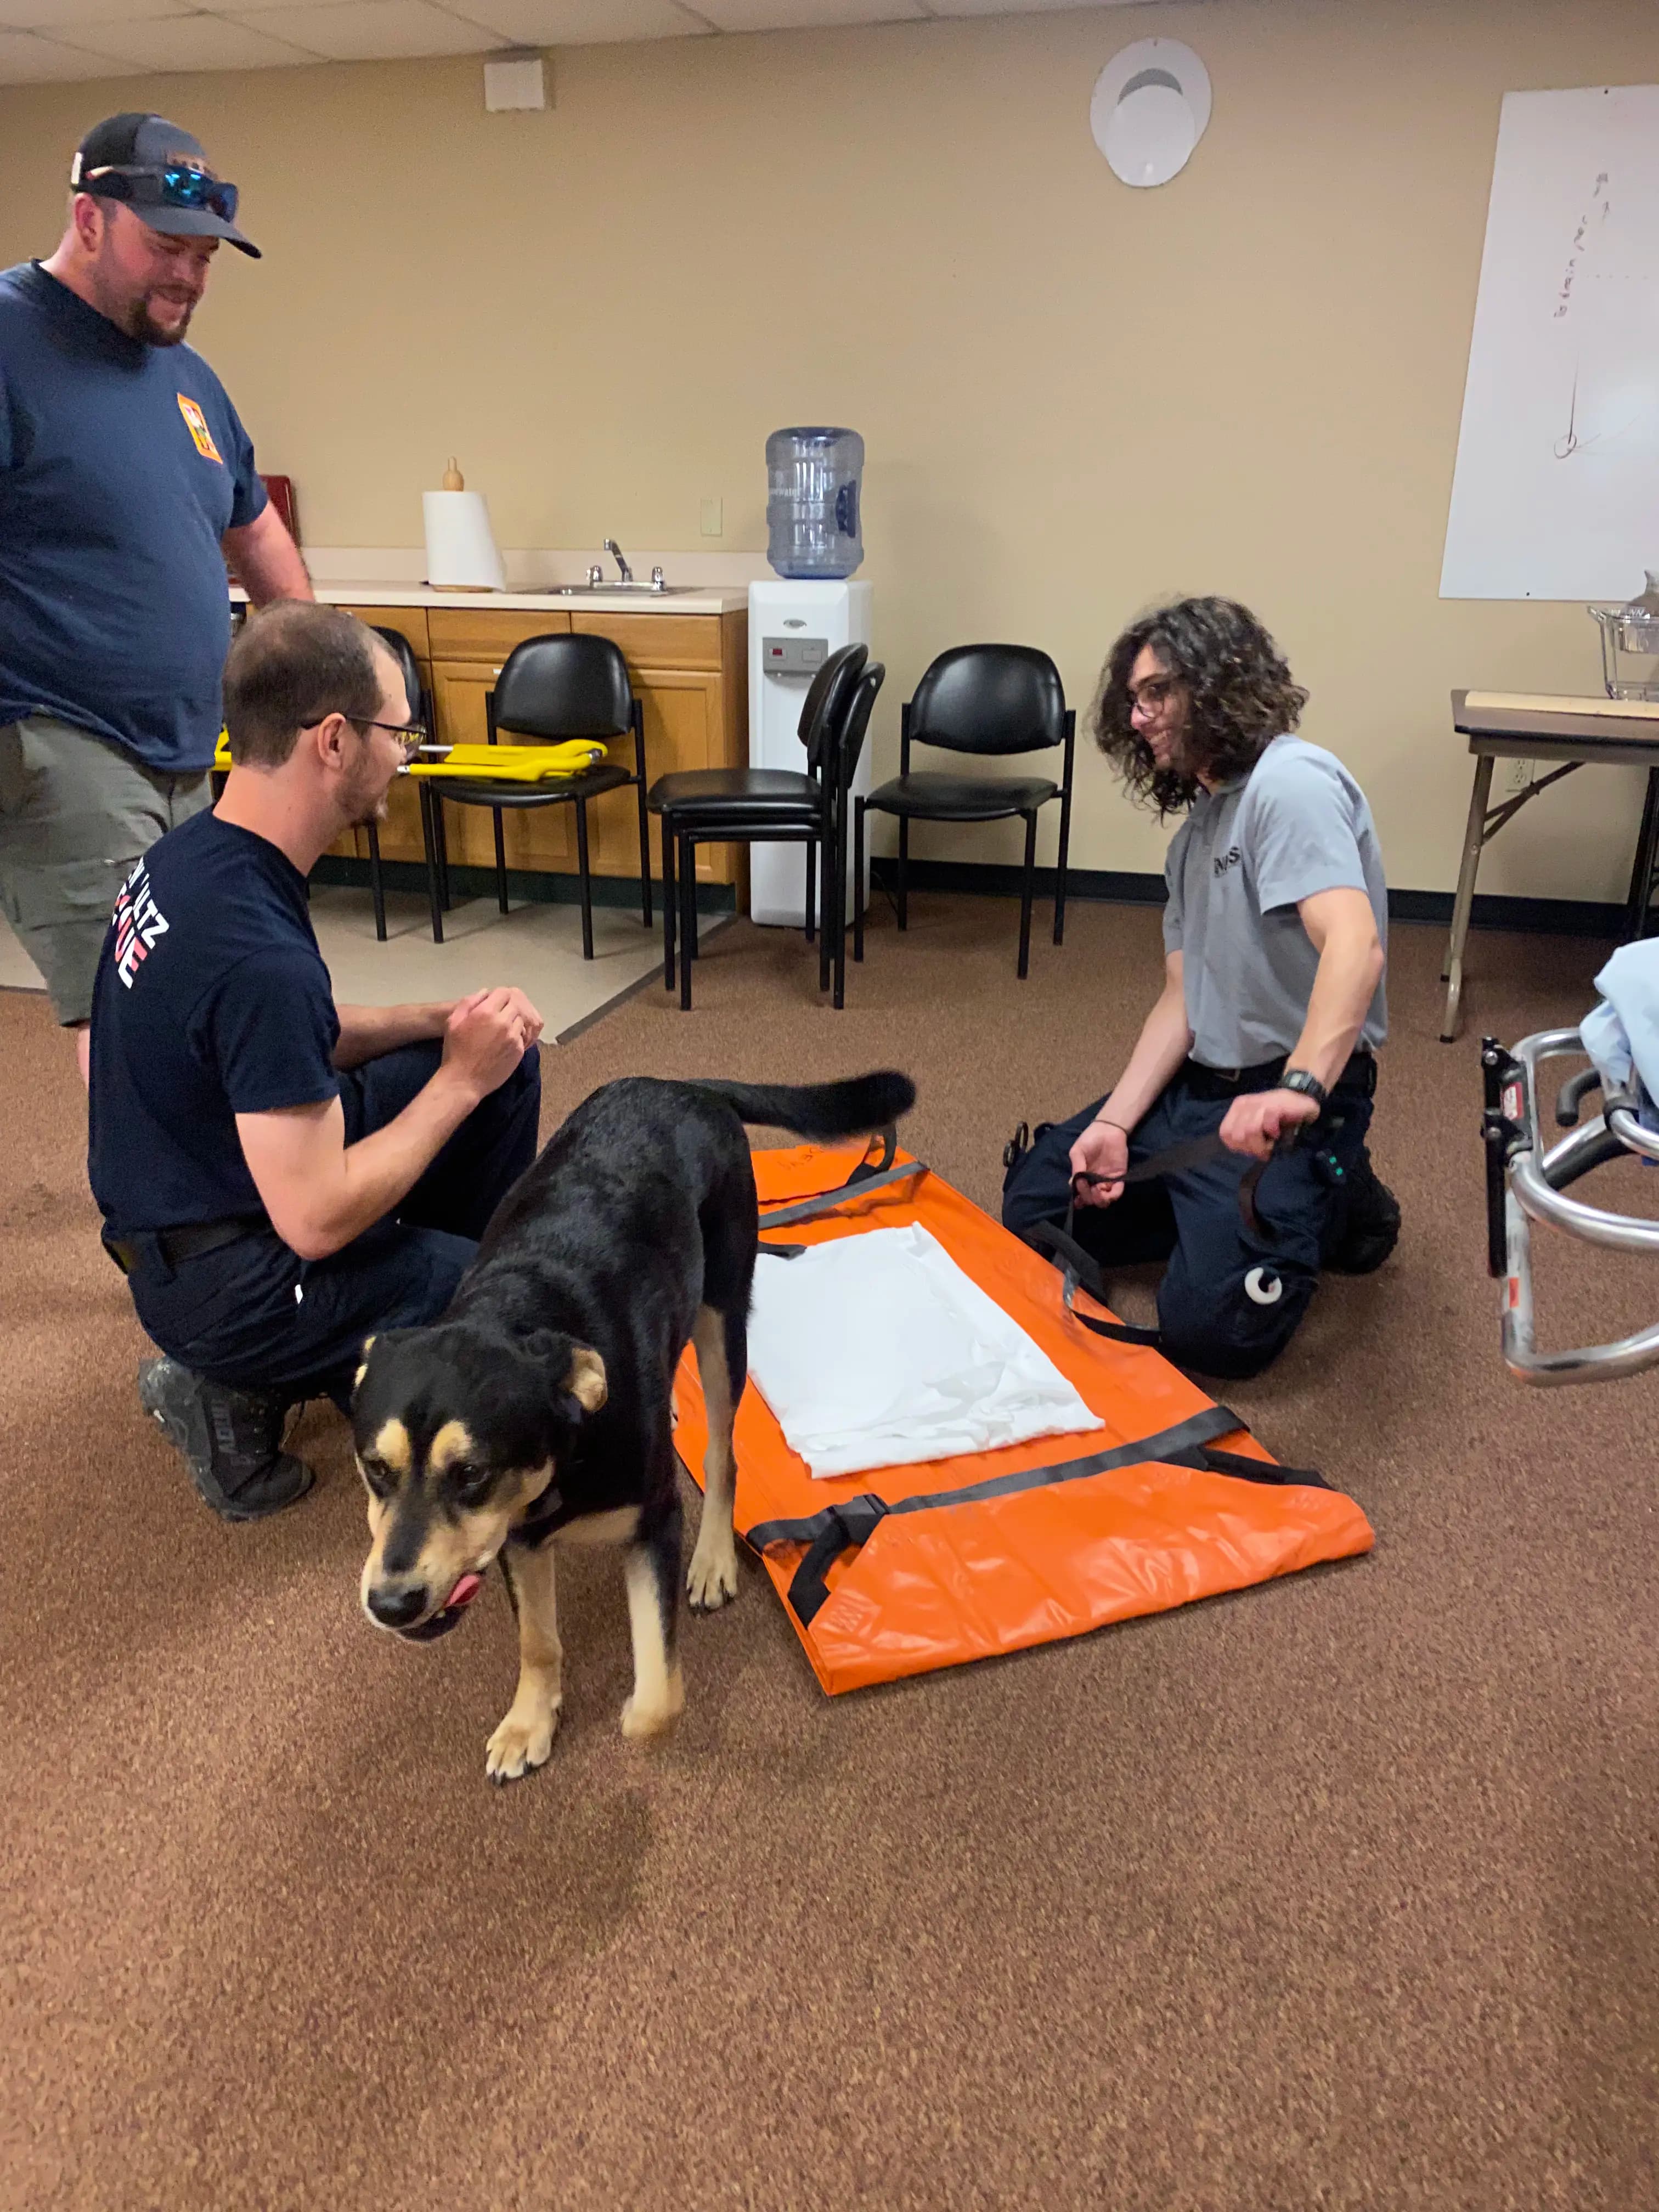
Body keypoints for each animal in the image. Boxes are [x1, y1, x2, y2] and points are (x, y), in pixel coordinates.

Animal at [356, 1070, 916, 1778]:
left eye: (472, 1474)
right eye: (375, 1469)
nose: (390, 1605)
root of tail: (680, 1084)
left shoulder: (655, 1523)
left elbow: (657, 1699)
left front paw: (631, 1711)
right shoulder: (519, 1538)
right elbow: (538, 1642)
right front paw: (529, 1722)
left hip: (723, 1316)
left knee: (723, 1451)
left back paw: (713, 1557)